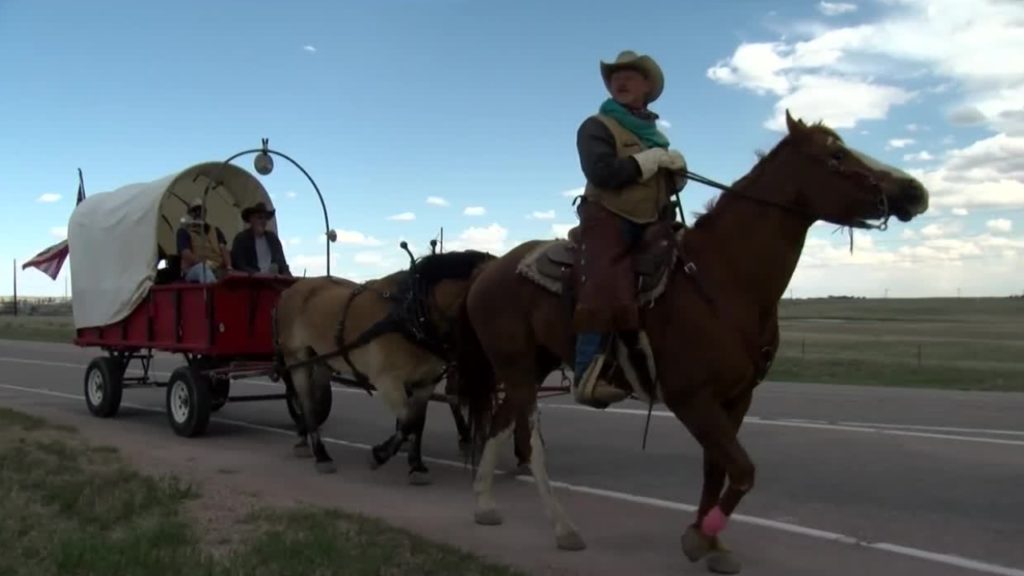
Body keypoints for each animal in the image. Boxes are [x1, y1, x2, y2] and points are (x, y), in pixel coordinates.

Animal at [272, 243, 495, 481]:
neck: (411, 314)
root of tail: (291, 290)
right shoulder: (387, 380)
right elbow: (408, 420)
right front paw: (380, 454)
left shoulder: (426, 382)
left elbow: (417, 422)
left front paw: (416, 464)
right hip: (297, 358)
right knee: (306, 403)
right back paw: (321, 454)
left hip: (322, 359)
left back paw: (303, 439)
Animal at [454, 109, 929, 569]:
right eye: (836, 156)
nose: (916, 191)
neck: (724, 277)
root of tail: (490, 268)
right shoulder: (691, 398)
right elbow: (743, 470)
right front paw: (700, 537)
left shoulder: (736, 398)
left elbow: (718, 469)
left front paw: (713, 543)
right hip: (517, 367)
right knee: (531, 443)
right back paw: (563, 528)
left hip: (533, 366)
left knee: (499, 425)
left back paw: (484, 506)